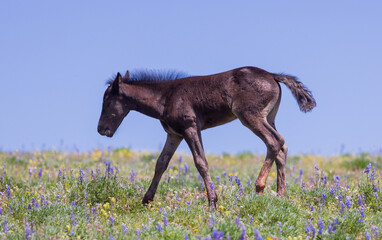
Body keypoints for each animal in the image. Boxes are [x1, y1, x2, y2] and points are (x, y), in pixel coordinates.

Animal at [98, 66, 316, 206]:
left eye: (107, 102)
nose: (101, 129)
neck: (165, 97)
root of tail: (272, 75)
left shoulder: (191, 128)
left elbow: (200, 162)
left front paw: (212, 201)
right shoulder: (174, 134)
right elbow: (161, 163)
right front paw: (146, 200)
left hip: (249, 116)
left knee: (274, 141)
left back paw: (260, 186)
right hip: (269, 117)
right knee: (282, 146)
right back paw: (281, 195)